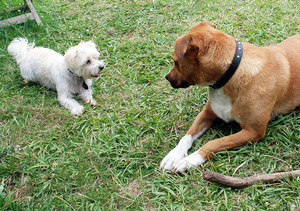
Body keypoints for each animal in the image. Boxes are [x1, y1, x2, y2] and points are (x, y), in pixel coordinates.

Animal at [161, 21, 298, 173]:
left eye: (175, 61)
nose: (167, 77)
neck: (231, 74)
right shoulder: (207, 113)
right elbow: (186, 136)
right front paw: (174, 154)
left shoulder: (253, 132)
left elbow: (213, 143)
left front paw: (190, 160)